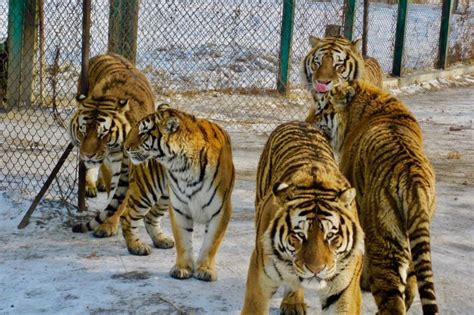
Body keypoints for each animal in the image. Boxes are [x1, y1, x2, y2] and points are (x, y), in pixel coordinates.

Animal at [67, 53, 171, 241]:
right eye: (82, 131)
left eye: (103, 134)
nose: (88, 155)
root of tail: (104, 54)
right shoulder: (109, 162)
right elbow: (114, 194)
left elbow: (120, 197)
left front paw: (107, 225)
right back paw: (91, 186)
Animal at [122, 105, 233, 282]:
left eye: (143, 133)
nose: (125, 147)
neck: (184, 167)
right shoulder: (180, 208)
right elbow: (183, 240)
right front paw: (182, 268)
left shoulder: (221, 210)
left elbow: (211, 243)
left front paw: (205, 270)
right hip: (146, 191)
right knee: (127, 217)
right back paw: (136, 246)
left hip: (163, 197)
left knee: (150, 217)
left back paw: (160, 240)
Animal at [243, 121, 364, 315]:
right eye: (299, 235)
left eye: (331, 236)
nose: (316, 270)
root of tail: (298, 122)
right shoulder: (260, 280)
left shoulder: (344, 291)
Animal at [316, 80, 438, 314]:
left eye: (320, 110)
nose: (308, 121)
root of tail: (412, 176)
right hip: (413, 231)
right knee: (411, 283)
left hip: (384, 237)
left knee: (393, 301)